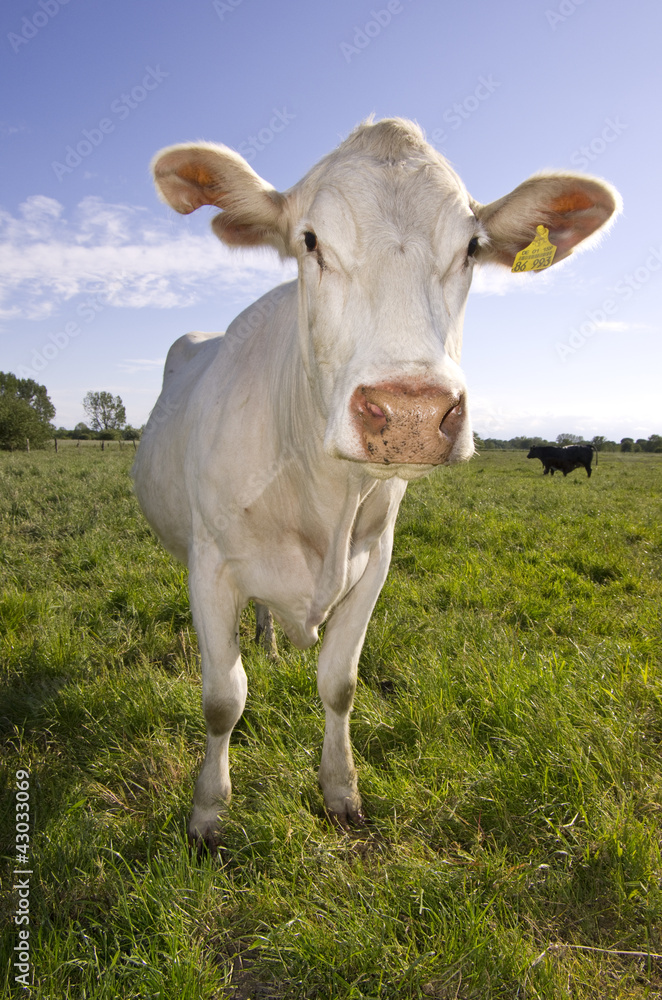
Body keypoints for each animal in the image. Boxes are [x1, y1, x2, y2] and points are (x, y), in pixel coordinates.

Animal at [132, 117, 620, 850]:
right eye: (309, 240)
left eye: (472, 248)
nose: (413, 411)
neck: (320, 499)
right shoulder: (211, 567)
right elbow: (223, 698)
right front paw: (208, 814)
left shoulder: (374, 564)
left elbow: (340, 684)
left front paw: (341, 792)